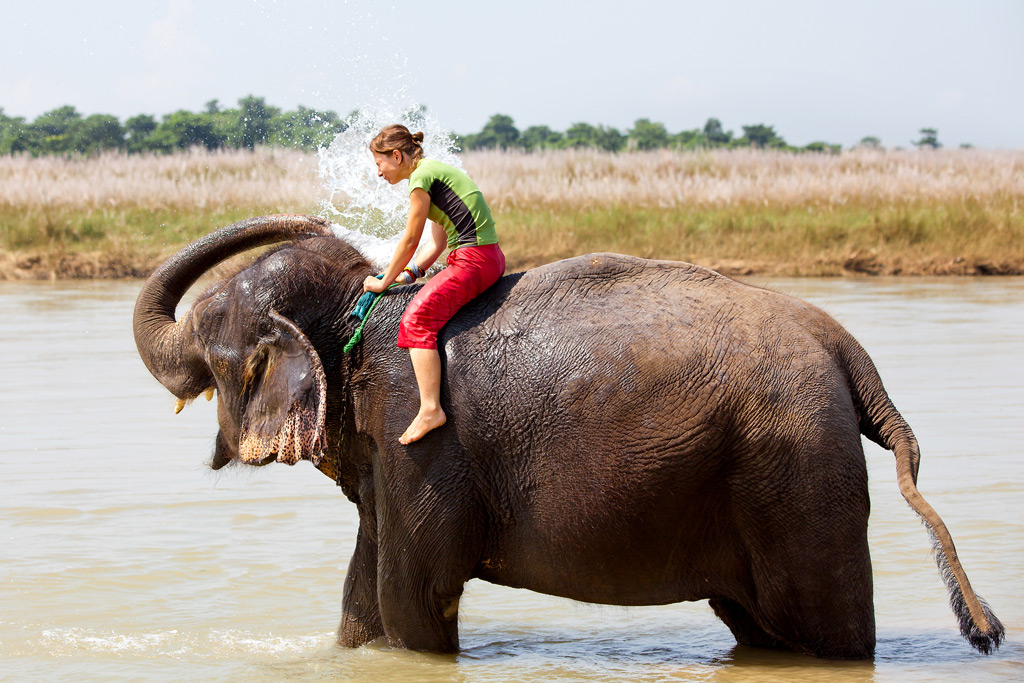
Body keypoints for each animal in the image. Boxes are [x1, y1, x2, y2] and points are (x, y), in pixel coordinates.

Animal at [132, 216, 1003, 659]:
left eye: (206, 336)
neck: (360, 300)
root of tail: (850, 354)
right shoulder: (387, 452)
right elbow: (365, 600)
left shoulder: (421, 438)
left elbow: (413, 597)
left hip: (795, 468)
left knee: (825, 629)